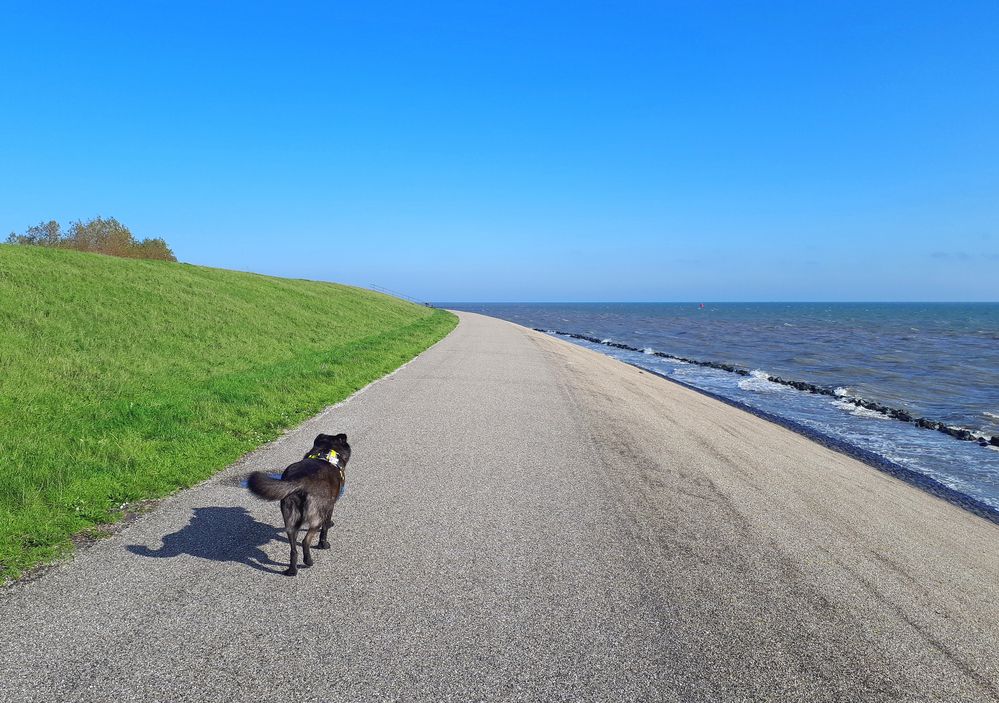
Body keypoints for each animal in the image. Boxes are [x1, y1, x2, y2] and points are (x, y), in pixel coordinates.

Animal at [246, 432, 352, 576]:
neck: (327, 451)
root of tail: (300, 480)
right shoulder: (330, 506)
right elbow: (324, 529)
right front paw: (324, 543)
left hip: (290, 519)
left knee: (293, 549)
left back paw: (292, 570)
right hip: (315, 517)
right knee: (305, 541)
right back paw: (308, 561)